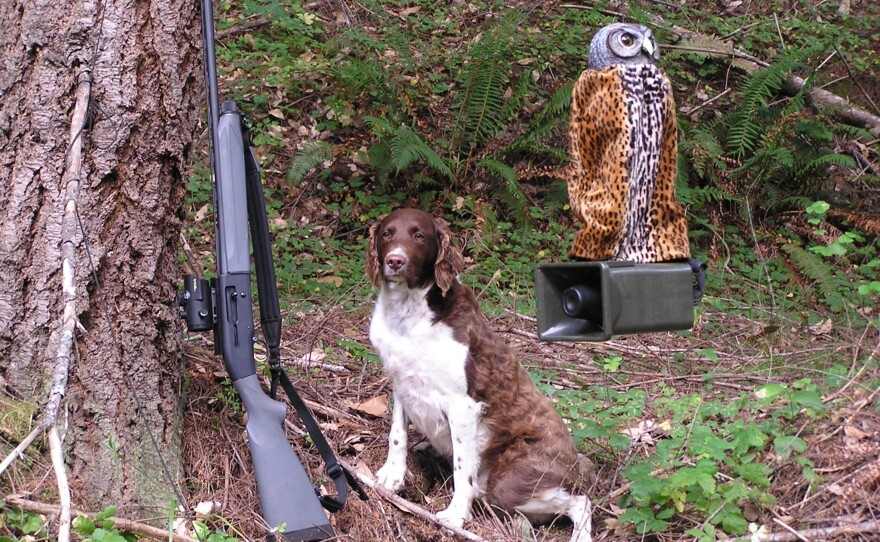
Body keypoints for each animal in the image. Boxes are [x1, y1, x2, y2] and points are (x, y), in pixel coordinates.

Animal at [364, 209, 592, 542]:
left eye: (419, 235)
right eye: (386, 234)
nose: (394, 260)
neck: (408, 316)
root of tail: (575, 465)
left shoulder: (463, 406)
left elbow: (462, 471)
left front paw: (455, 516)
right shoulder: (401, 382)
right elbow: (397, 435)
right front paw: (392, 475)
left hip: (509, 482)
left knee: (580, 501)